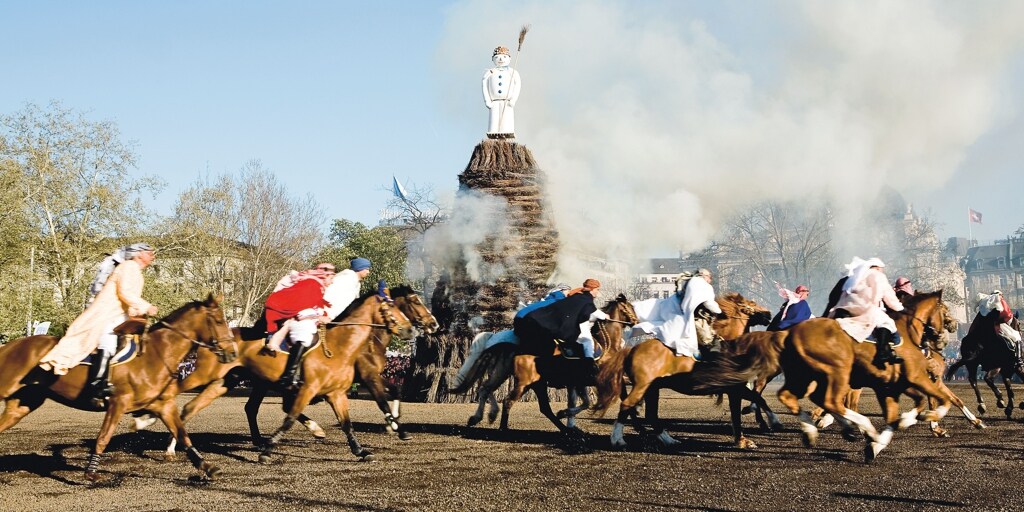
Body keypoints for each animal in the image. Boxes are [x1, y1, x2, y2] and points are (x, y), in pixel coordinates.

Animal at [0, 294, 235, 481]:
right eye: (218, 320)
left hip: (22, 404)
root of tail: (9, 346)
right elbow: (103, 437)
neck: (156, 354)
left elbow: (183, 435)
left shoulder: (163, 405)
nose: (232, 352)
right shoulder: (117, 403)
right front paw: (91, 473)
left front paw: (207, 467)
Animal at [589, 294, 778, 450]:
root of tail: (631, 349)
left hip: (652, 389)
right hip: (642, 386)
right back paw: (618, 439)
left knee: (651, 415)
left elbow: (756, 398)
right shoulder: (734, 389)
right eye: (752, 303)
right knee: (627, 405)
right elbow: (748, 405)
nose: (769, 314)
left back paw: (669, 440)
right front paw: (753, 433)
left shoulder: (736, 388)